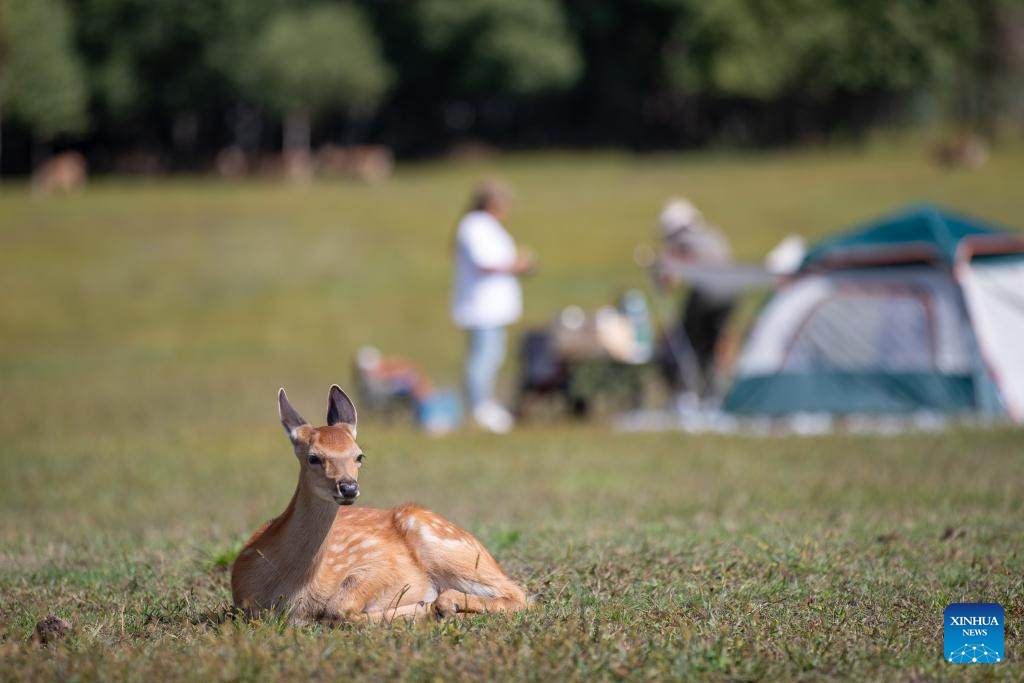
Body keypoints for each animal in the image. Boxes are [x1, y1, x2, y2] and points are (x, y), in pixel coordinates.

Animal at [231, 385, 528, 626]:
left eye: (359, 455)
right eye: (314, 457)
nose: (348, 487)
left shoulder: (383, 564)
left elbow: (339, 608)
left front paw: (426, 607)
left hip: (442, 542)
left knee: (520, 595)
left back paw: (445, 605)